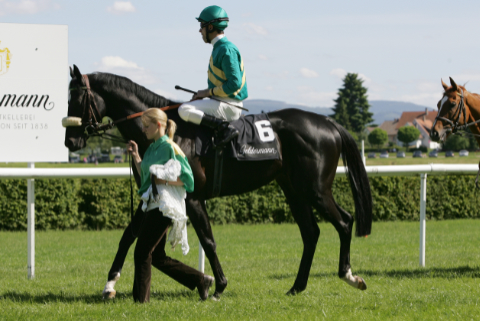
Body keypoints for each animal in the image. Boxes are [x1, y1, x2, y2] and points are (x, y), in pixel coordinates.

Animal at [63, 65, 372, 300]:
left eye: (76, 99)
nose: (70, 141)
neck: (169, 133)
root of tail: (329, 123)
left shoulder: (192, 196)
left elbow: (208, 240)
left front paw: (219, 286)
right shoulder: (151, 195)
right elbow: (127, 236)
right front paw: (110, 284)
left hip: (315, 189)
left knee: (344, 221)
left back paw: (349, 275)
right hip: (293, 190)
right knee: (311, 233)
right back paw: (297, 286)